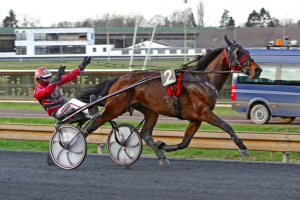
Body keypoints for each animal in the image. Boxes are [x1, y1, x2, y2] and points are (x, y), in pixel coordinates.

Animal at [77, 36, 262, 166]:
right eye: (239, 52)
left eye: (246, 51)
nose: (257, 70)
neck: (202, 79)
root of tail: (120, 78)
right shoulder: (204, 112)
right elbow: (226, 125)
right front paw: (243, 147)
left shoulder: (195, 118)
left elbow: (185, 142)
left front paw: (163, 145)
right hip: (115, 106)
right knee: (94, 124)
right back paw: (75, 145)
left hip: (150, 111)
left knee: (145, 134)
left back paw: (161, 156)